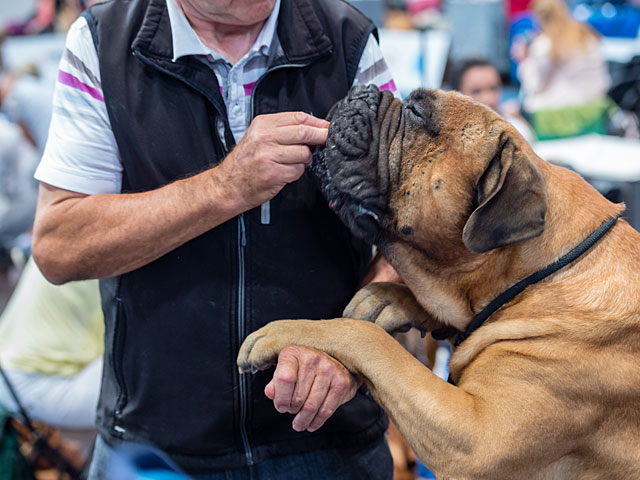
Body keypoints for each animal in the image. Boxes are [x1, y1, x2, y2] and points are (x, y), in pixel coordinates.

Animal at [236, 84, 640, 478]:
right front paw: (385, 299)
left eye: (416, 113)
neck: (533, 272)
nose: (361, 90)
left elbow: (370, 340)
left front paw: (280, 332)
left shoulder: (474, 437)